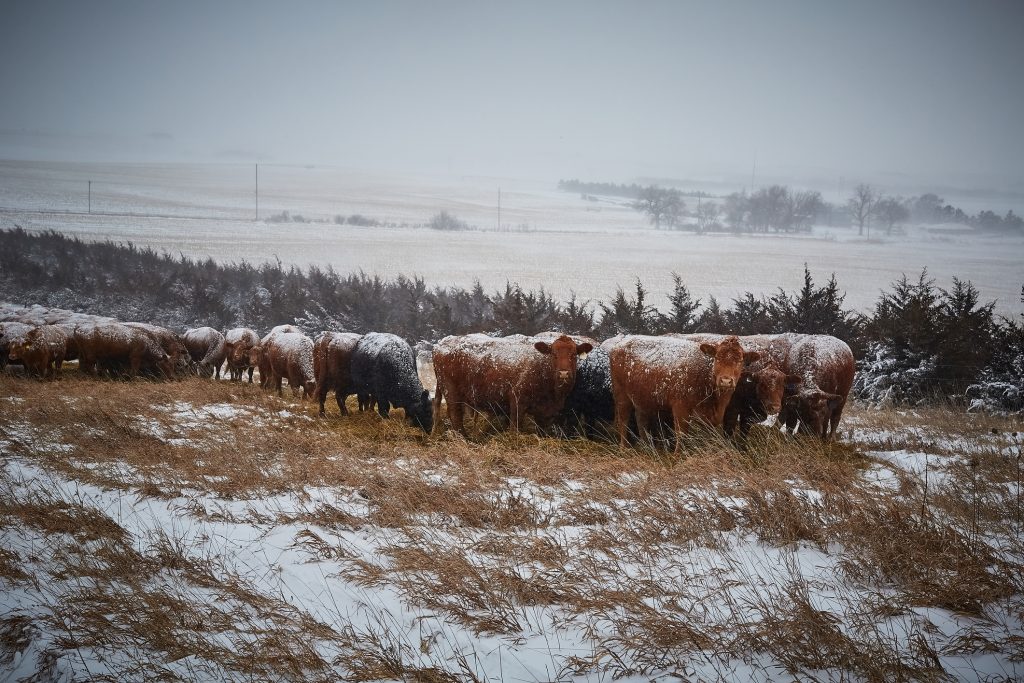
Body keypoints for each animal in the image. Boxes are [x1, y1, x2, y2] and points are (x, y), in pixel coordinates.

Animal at [430, 331, 593, 438]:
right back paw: (464, 439)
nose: (564, 374)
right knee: (456, 416)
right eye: (554, 354)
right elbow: (515, 427)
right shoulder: (517, 401)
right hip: (451, 392)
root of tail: (441, 343)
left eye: (574, 355)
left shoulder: (546, 412)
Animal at [606, 333, 761, 450]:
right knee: (623, 421)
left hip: (643, 398)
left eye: (740, 360)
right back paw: (623, 448)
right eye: (717, 357)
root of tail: (622, 342)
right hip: (621, 396)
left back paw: (647, 447)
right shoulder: (680, 408)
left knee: (641, 420)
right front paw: (678, 454)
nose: (726, 381)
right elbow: (681, 432)